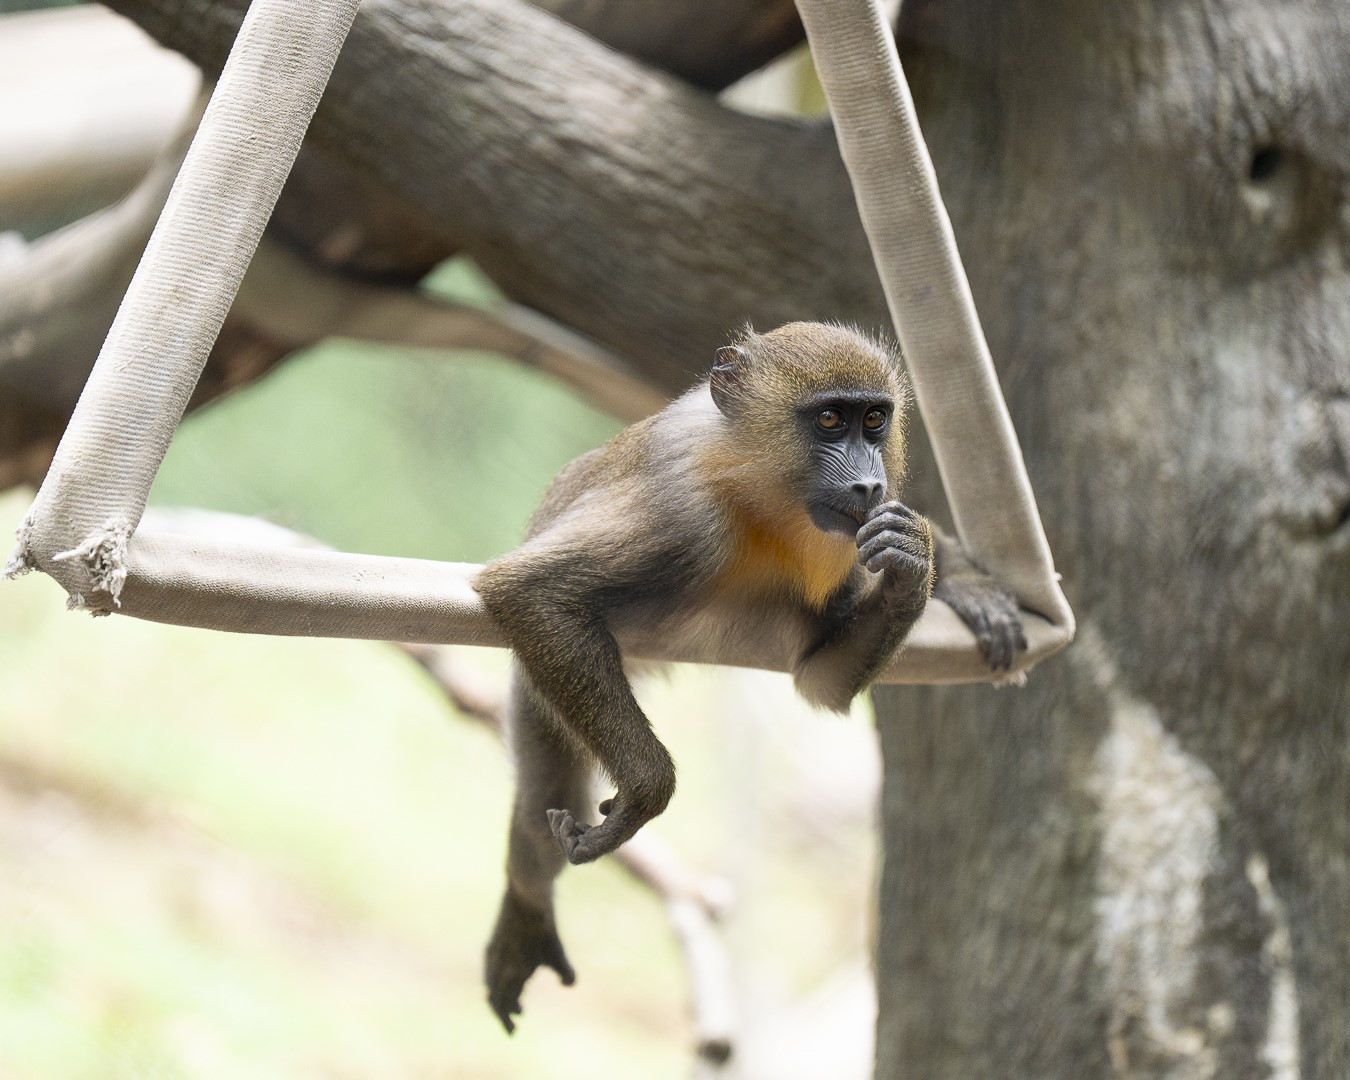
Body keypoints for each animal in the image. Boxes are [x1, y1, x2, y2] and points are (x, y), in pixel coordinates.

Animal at [475, 318, 1020, 1031]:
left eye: (874, 420)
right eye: (828, 419)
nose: (870, 486)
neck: (755, 494)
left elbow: (821, 680)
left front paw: (916, 564)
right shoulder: (679, 514)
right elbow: (531, 592)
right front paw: (646, 792)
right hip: (544, 696)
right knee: (545, 799)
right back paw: (529, 898)